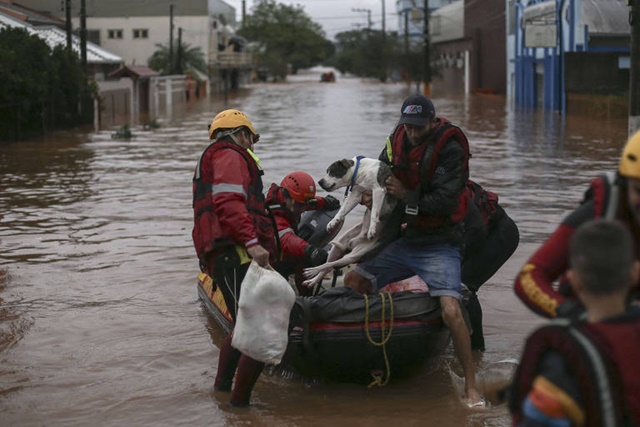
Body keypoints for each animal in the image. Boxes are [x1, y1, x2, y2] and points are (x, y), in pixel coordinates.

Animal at [302, 155, 400, 290]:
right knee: (328, 266)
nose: (320, 182)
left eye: (333, 172)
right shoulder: (357, 194)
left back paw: (312, 271)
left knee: (329, 265)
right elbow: (343, 210)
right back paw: (313, 278)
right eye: (327, 171)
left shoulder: (378, 190)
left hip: (354, 255)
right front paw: (333, 222)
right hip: (338, 247)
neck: (361, 171)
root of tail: (356, 241)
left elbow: (374, 212)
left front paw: (372, 229)